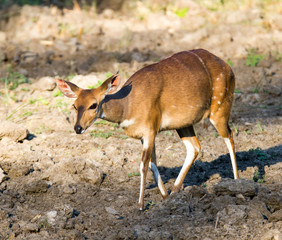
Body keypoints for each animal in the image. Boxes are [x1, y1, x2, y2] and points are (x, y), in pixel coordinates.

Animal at [56, 48, 239, 210]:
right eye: (74, 105)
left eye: (93, 105)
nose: (78, 128)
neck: (127, 107)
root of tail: (227, 67)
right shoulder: (146, 135)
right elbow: (152, 163)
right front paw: (164, 196)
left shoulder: (150, 130)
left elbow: (143, 165)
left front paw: (140, 206)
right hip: (184, 123)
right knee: (195, 147)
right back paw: (175, 191)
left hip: (219, 108)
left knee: (229, 136)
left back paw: (237, 185)